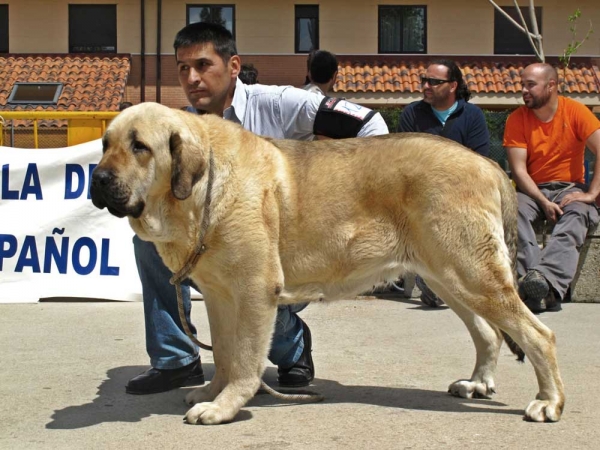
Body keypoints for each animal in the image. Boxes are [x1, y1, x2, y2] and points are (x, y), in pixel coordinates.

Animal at [90, 102, 564, 426]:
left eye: (140, 147)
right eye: (106, 144)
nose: (96, 178)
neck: (203, 187)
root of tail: (489, 164)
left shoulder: (252, 293)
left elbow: (244, 358)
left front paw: (225, 406)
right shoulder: (220, 297)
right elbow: (224, 353)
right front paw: (212, 391)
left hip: (471, 275)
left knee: (538, 335)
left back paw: (548, 401)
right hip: (451, 278)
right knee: (488, 332)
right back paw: (478, 383)